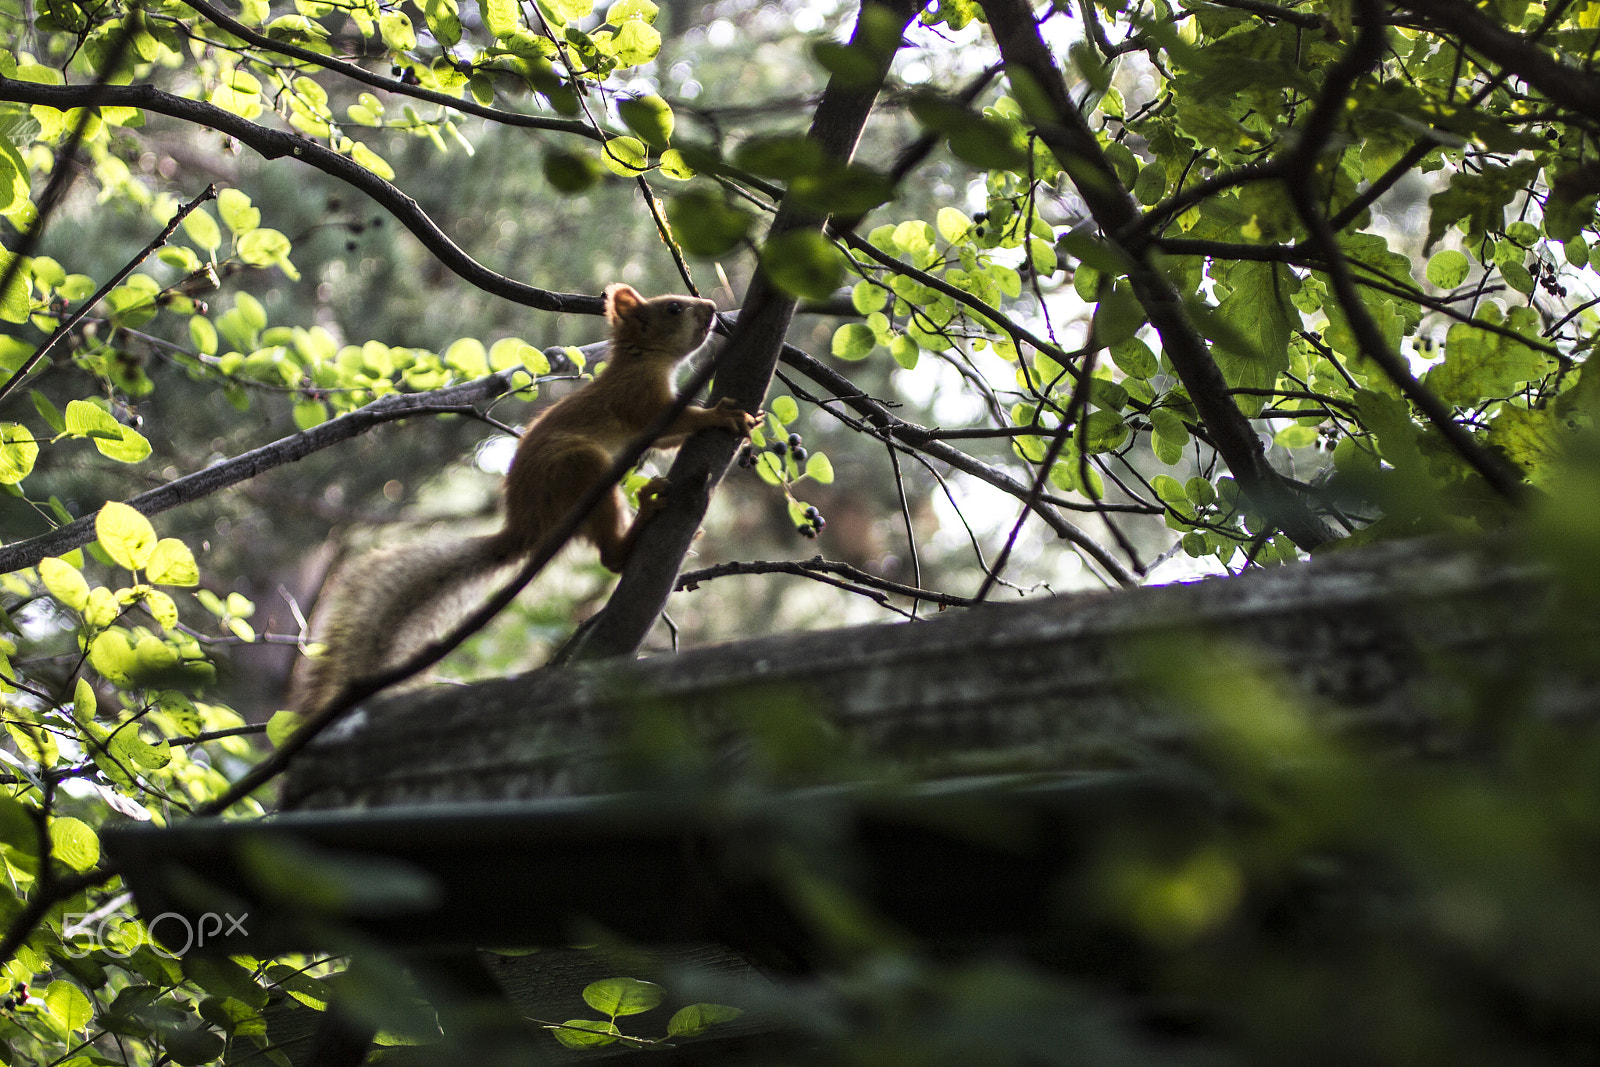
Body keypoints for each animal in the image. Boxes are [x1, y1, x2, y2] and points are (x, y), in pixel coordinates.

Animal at [292, 283, 761, 716]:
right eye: (674, 308)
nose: (713, 307)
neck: (642, 360)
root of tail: (525, 524)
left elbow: (668, 440)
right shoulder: (638, 400)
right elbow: (668, 424)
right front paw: (721, 414)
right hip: (577, 466)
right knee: (609, 556)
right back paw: (643, 515)